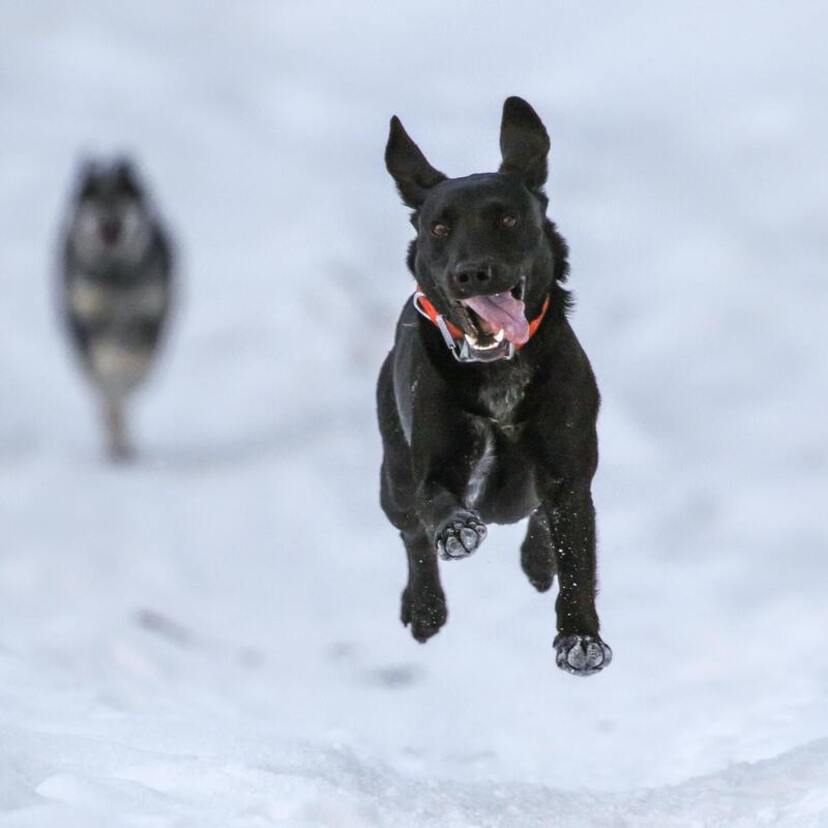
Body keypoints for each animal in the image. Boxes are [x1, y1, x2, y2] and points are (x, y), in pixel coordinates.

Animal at [60, 160, 175, 460]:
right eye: (94, 200)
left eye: (121, 200)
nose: (108, 221)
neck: (116, 273)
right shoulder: (90, 313)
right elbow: (107, 364)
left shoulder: (149, 312)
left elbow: (136, 360)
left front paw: (127, 367)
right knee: (106, 399)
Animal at [378, 98, 612, 680]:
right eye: (440, 228)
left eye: (507, 218)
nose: (472, 273)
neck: (497, 373)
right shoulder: (432, 462)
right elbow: (436, 503)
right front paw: (457, 530)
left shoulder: (568, 469)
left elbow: (576, 552)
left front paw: (580, 639)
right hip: (392, 476)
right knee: (411, 532)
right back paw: (425, 607)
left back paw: (537, 562)